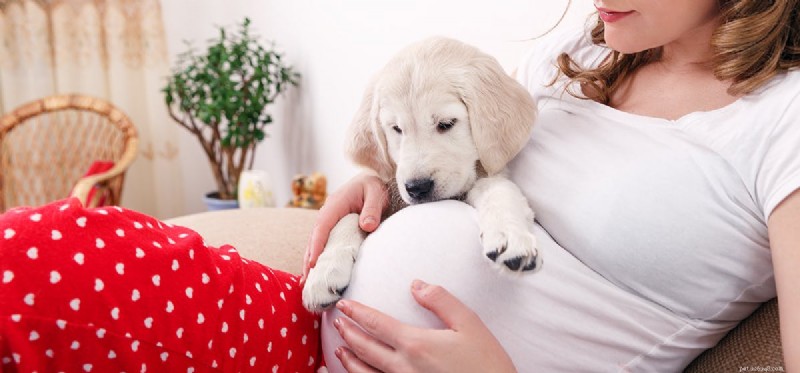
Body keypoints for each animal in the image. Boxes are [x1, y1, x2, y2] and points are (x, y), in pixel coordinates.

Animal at [304, 37, 540, 310]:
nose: (417, 188)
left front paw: (510, 235)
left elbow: (498, 191)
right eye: (396, 128)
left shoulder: (487, 176)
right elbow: (349, 216)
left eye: (446, 124)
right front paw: (324, 271)